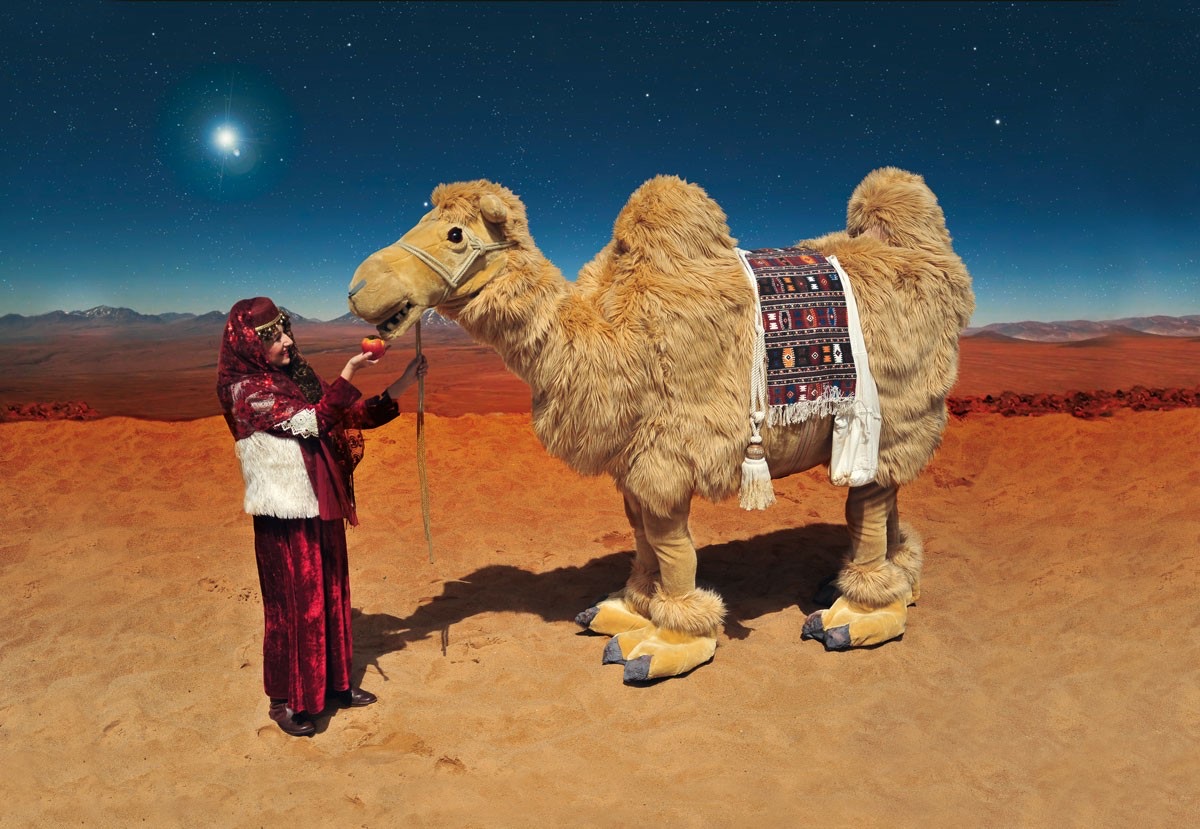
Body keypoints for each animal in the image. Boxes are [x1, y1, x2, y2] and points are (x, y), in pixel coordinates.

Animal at [347, 168, 974, 682]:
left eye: (456, 234)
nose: (360, 288)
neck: (607, 339)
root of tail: (940, 264)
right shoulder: (630, 457)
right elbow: (642, 538)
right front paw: (626, 609)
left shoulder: (669, 451)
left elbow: (672, 549)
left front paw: (668, 643)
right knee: (885, 498)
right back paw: (892, 581)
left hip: (892, 413)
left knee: (868, 499)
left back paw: (858, 614)